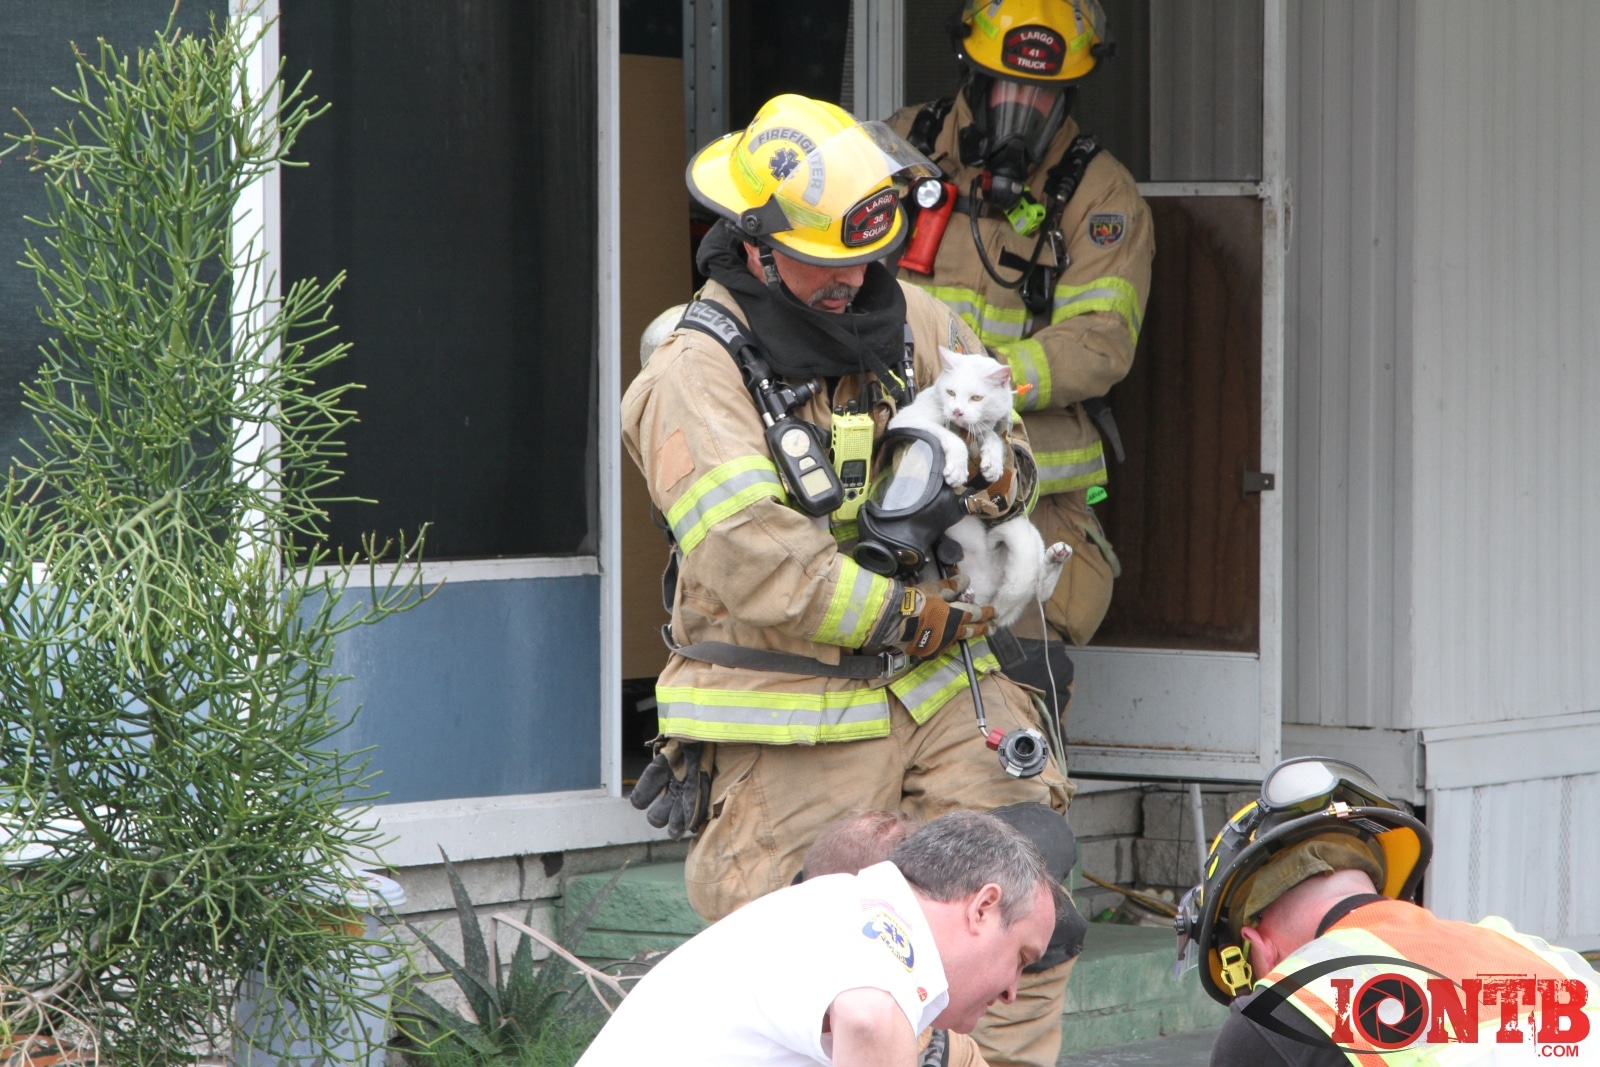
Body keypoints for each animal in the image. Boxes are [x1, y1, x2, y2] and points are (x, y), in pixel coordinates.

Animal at [888, 347, 1071, 627]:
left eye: (976, 398)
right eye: (951, 392)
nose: (957, 411)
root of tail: (990, 605)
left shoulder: (990, 431)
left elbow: (994, 437)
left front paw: (993, 464)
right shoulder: (906, 420)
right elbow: (950, 436)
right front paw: (958, 469)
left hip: (1023, 532)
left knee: (1039, 591)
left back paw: (1056, 556)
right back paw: (966, 594)